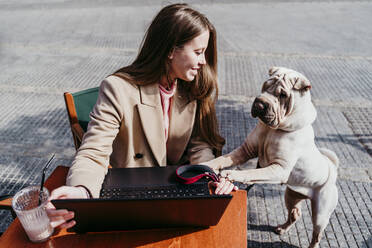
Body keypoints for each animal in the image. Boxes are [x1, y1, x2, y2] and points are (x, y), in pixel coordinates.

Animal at [205, 66, 338, 248]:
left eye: (283, 95)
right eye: (265, 86)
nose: (259, 103)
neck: (274, 129)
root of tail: (333, 170)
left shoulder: (279, 169)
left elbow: (251, 173)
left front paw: (231, 174)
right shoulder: (246, 150)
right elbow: (224, 158)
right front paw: (208, 164)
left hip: (320, 213)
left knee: (317, 234)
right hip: (292, 195)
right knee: (295, 213)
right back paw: (282, 228)